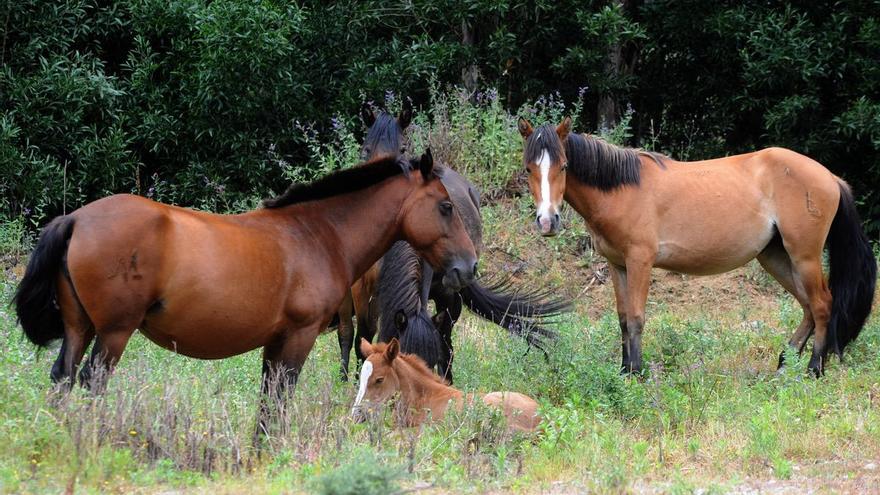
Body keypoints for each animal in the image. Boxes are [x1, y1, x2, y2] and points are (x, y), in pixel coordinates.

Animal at [13, 151, 478, 434]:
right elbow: (281, 399)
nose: (468, 266)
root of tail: (75, 219)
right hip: (113, 333)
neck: (316, 233)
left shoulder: (274, 342)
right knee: (92, 382)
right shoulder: (299, 337)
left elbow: (266, 402)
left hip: (80, 329)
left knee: (63, 379)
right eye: (445, 206)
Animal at [520, 118, 876, 378]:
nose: (547, 221)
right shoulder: (617, 265)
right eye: (529, 169)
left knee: (822, 304)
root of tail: (830, 176)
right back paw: (783, 365)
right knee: (807, 306)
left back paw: (814, 370)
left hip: (804, 256)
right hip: (775, 258)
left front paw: (637, 374)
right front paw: (624, 371)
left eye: (564, 166)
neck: (622, 189)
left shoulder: (640, 261)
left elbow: (635, 318)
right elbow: (622, 319)